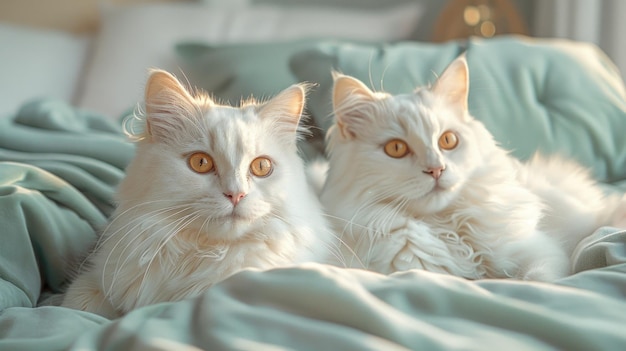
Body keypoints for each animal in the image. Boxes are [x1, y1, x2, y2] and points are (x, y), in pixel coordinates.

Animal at [320, 55, 620, 282]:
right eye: (396, 148)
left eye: (447, 141)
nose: (436, 169)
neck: (448, 228)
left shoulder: (541, 250)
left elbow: (539, 278)